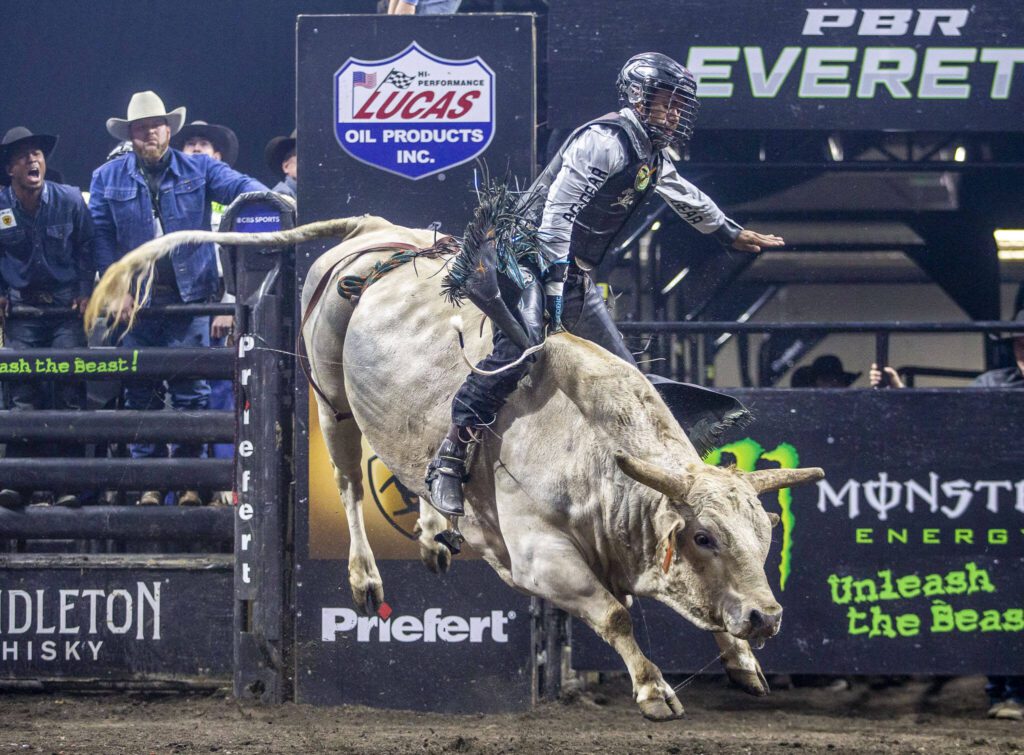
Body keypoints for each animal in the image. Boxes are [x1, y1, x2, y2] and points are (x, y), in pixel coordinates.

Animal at [88, 211, 823, 717]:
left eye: (764, 534)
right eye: (703, 535)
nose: (767, 616)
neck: (593, 453)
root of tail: (376, 231)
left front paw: (743, 658)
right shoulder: (539, 558)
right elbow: (614, 614)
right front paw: (654, 690)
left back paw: (436, 530)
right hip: (329, 396)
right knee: (350, 480)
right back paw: (366, 579)